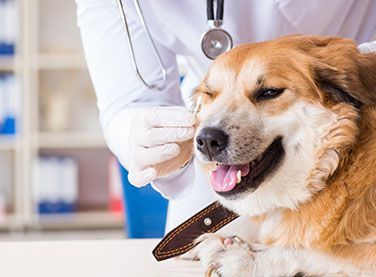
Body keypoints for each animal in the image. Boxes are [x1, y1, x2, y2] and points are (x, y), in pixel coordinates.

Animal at [194, 35, 376, 274]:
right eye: (210, 94)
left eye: (269, 92)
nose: (207, 141)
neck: (334, 165)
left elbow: (317, 251)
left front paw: (245, 257)